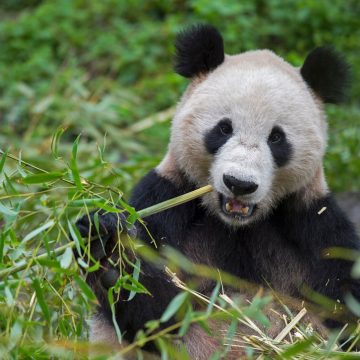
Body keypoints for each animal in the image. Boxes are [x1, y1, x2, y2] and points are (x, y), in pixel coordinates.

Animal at [75, 24, 360, 358]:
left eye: (276, 138)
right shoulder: (166, 198)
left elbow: (345, 306)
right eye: (224, 129)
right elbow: (158, 316)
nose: (239, 183)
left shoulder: (313, 221)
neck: (236, 225)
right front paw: (107, 250)